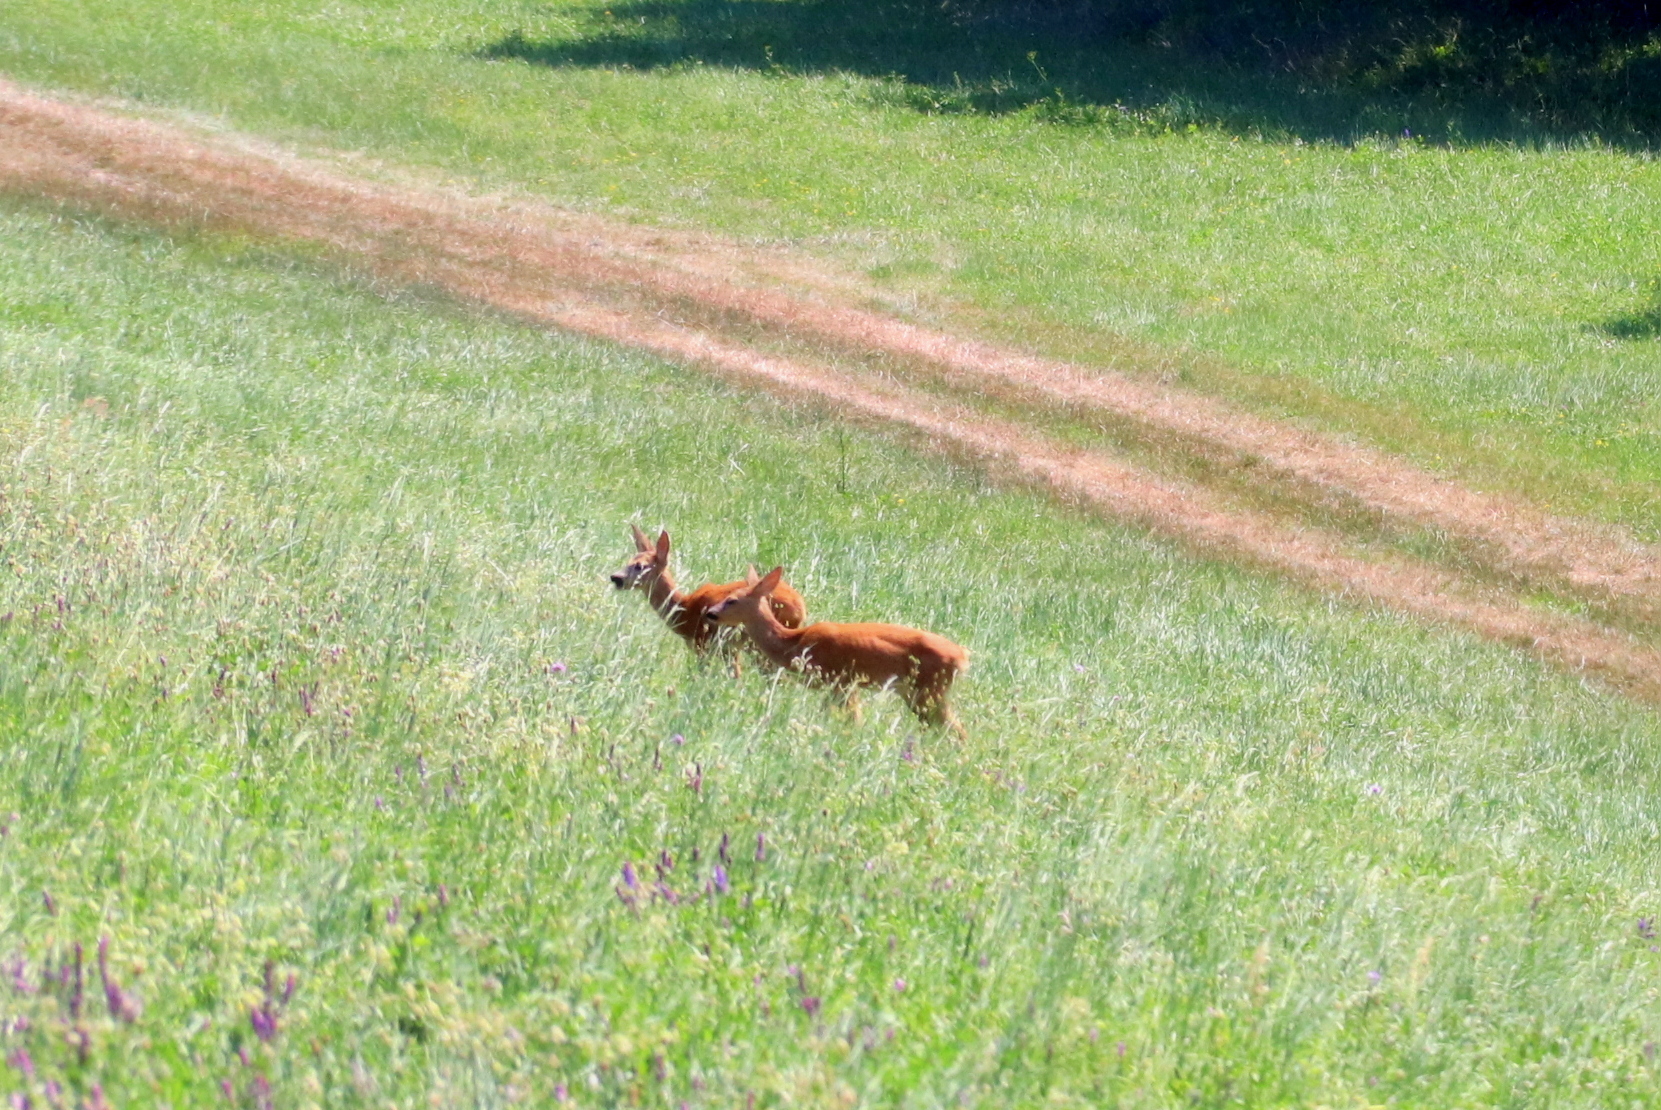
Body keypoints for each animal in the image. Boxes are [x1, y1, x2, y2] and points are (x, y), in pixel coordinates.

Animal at [610, 525, 806, 655]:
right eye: (629, 561)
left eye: (640, 566)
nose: (615, 577)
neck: (683, 608)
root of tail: (801, 609)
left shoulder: (703, 644)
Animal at [705, 566, 968, 737]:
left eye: (732, 600)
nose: (710, 613)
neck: (795, 644)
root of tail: (964, 657)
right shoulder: (839, 686)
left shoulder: (841, 680)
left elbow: (852, 719)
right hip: (916, 692)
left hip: (929, 690)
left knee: (957, 731)